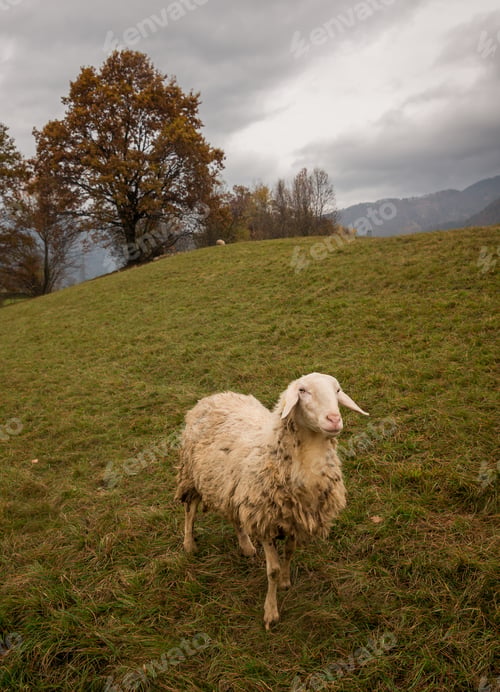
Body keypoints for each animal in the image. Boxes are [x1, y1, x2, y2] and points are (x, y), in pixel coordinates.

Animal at [175, 372, 369, 630]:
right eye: (302, 391)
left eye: (337, 390)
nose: (334, 419)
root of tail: (215, 396)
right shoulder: (266, 520)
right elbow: (273, 570)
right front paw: (271, 612)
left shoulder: (294, 519)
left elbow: (290, 552)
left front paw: (286, 582)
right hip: (191, 475)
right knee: (190, 509)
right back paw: (189, 544)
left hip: (233, 488)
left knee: (235, 517)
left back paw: (246, 546)